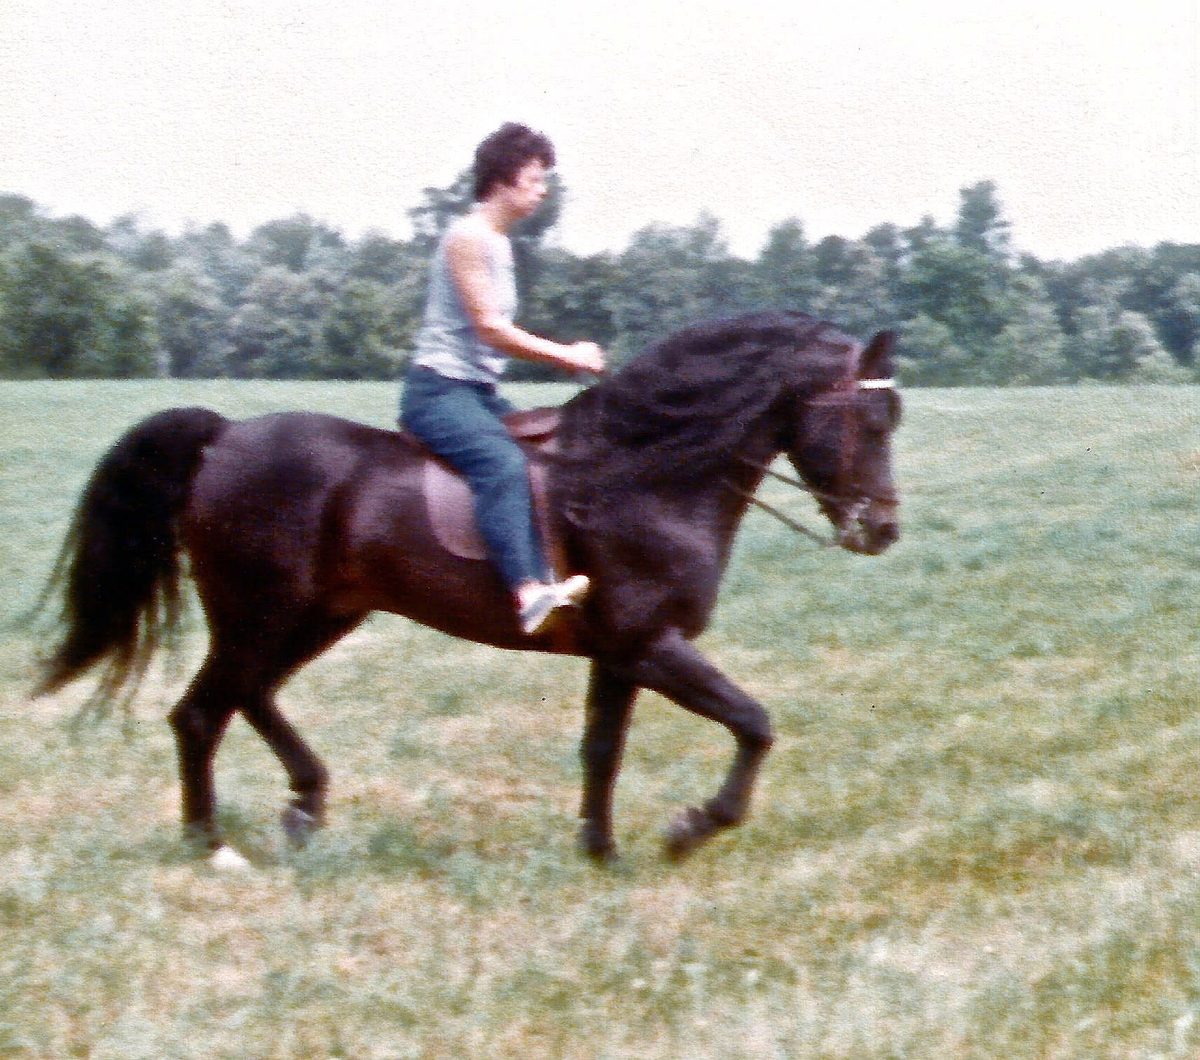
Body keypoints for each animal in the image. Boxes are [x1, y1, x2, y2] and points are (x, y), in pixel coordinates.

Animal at [36, 311, 902, 864]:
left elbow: (602, 751)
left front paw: (600, 850)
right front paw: (692, 827)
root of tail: (223, 438)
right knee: (202, 712)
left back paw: (299, 808)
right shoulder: (649, 643)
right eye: (872, 422)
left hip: (315, 616)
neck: (642, 474)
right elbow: (754, 724)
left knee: (240, 700)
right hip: (259, 615)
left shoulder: (620, 655)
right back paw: (212, 843)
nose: (884, 531)